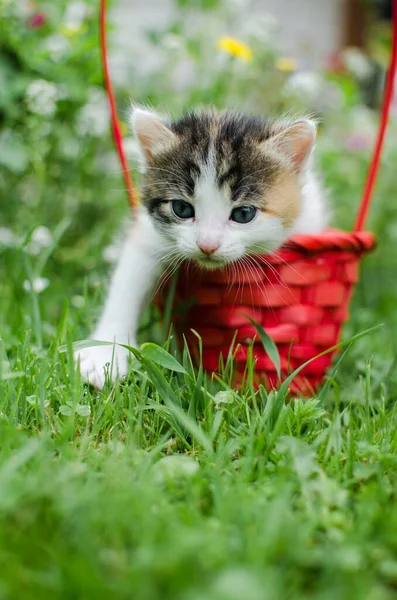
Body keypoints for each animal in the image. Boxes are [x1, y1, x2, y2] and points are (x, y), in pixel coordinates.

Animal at [76, 108, 326, 390]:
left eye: (244, 214)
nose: (207, 245)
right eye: (181, 209)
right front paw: (104, 355)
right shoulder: (149, 237)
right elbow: (128, 282)